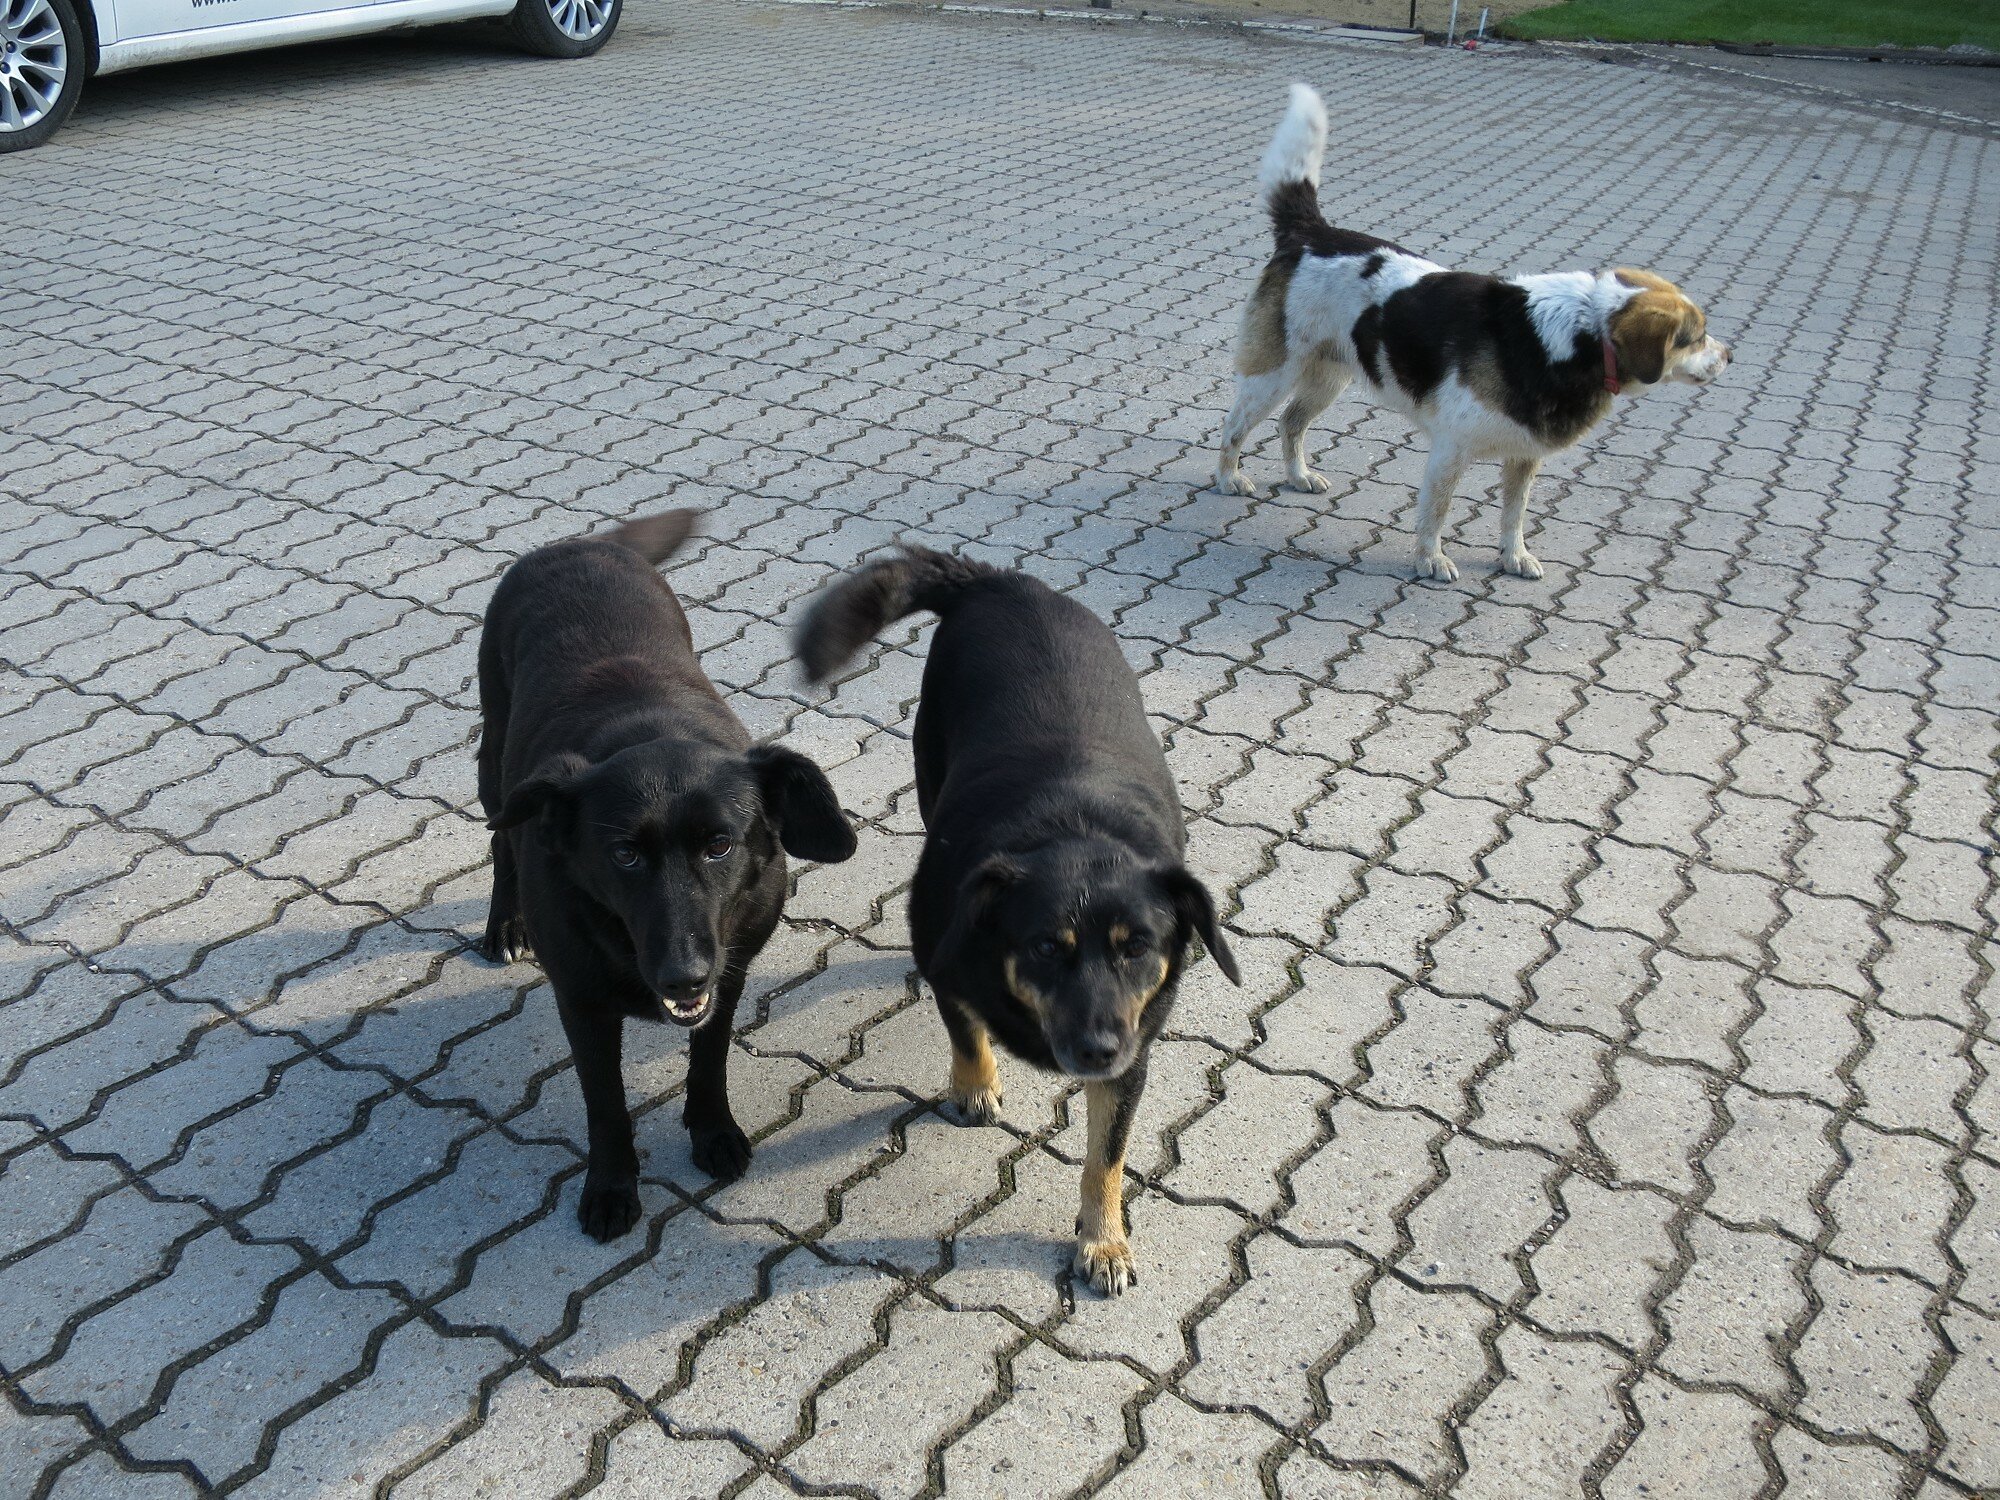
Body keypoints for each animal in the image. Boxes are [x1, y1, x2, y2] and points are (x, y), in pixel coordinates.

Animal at [478, 509, 856, 1241]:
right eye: (624, 856)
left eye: (720, 846)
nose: (683, 976)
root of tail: (583, 543)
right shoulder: (582, 1001)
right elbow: (605, 1104)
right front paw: (611, 1187)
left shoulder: (729, 974)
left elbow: (708, 1061)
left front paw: (712, 1132)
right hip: (494, 762)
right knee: (501, 839)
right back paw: (504, 924)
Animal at [796, 546, 1239, 1295]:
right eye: (1045, 947)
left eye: (1138, 947)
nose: (1096, 1049)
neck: (1075, 826)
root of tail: (997, 580)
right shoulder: (945, 944)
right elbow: (964, 1028)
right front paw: (976, 1087)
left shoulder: (1134, 1054)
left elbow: (1106, 1158)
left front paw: (1104, 1240)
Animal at [1215, 83, 1732, 581]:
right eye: (1695, 337)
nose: (1730, 356)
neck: (1566, 338)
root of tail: (1311, 233)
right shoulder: (1451, 449)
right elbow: (1437, 512)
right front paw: (1430, 560)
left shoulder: (1524, 454)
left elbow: (1514, 515)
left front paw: (1513, 557)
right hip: (1273, 374)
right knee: (1234, 426)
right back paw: (1227, 479)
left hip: (1329, 376)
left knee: (1291, 423)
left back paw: (1298, 475)